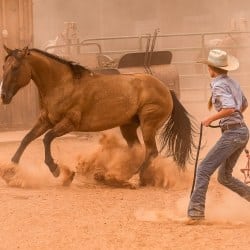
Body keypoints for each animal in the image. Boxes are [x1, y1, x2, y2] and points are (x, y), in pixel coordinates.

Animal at [0, 45, 196, 186]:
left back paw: (130, 178)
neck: (62, 84)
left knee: (151, 151)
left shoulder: (68, 124)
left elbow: (47, 139)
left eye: (15, 67)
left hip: (148, 124)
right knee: (138, 150)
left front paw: (57, 170)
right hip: (128, 127)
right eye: (4, 66)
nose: (3, 96)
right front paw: (10, 171)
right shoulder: (45, 120)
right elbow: (26, 139)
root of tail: (167, 89)